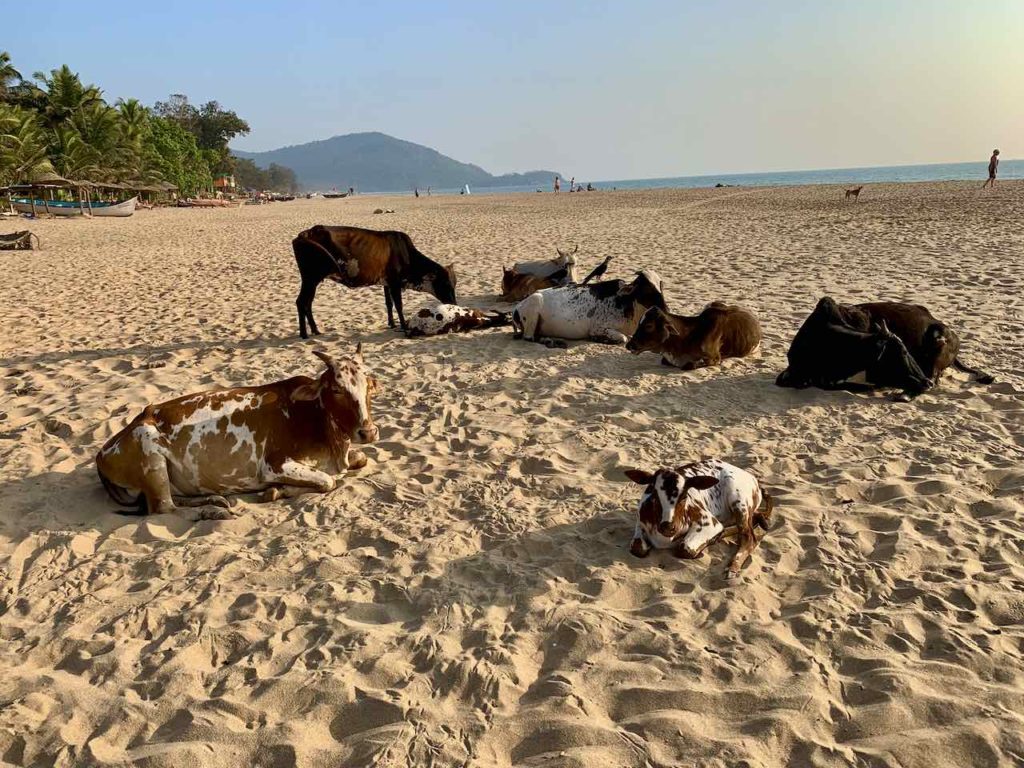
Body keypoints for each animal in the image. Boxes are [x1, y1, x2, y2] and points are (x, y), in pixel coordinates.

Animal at [95, 348, 380, 524]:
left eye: (369, 386)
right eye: (337, 388)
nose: (367, 431)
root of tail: (102, 451)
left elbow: (359, 460)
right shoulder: (274, 465)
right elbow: (327, 480)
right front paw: (277, 491)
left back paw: (215, 500)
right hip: (149, 450)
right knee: (163, 509)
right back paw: (211, 512)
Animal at [618, 456, 770, 577]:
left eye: (684, 496)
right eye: (654, 494)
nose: (668, 527)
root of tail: (751, 477)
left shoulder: (710, 522)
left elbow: (684, 549)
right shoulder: (640, 522)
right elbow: (637, 548)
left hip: (738, 500)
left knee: (749, 537)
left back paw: (731, 568)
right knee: (756, 517)